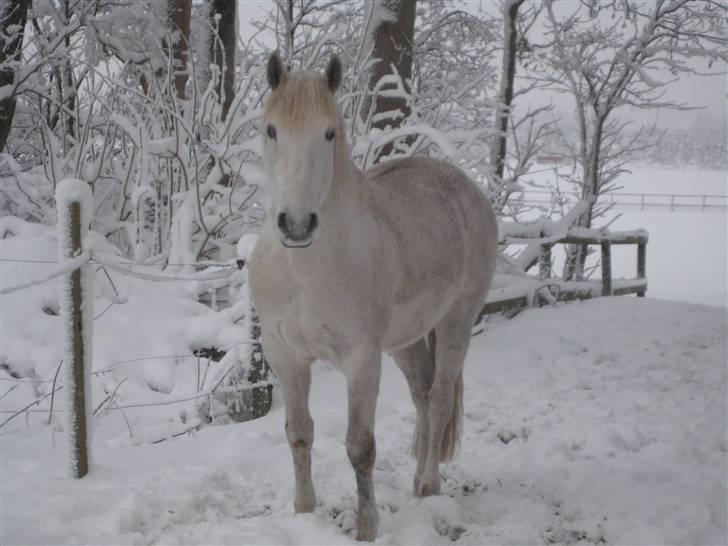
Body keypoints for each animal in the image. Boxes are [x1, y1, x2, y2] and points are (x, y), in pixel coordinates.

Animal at [249, 53, 494, 536]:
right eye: (271, 130)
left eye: (329, 133)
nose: (297, 225)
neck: (304, 270)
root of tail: (467, 188)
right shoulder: (285, 355)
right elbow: (298, 432)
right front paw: (304, 511)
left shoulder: (361, 358)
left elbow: (360, 446)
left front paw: (367, 528)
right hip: (406, 341)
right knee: (422, 395)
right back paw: (418, 477)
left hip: (456, 322)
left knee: (440, 398)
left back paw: (429, 485)